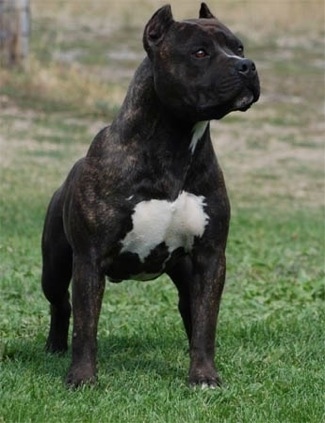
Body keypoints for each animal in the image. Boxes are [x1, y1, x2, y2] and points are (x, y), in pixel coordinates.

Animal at [41, 2, 258, 388]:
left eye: (239, 47)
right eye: (200, 52)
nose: (246, 65)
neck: (174, 145)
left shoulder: (210, 257)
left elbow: (206, 322)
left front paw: (204, 376)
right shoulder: (89, 260)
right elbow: (86, 327)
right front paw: (82, 379)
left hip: (185, 273)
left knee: (192, 313)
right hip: (53, 266)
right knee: (61, 303)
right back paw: (55, 347)